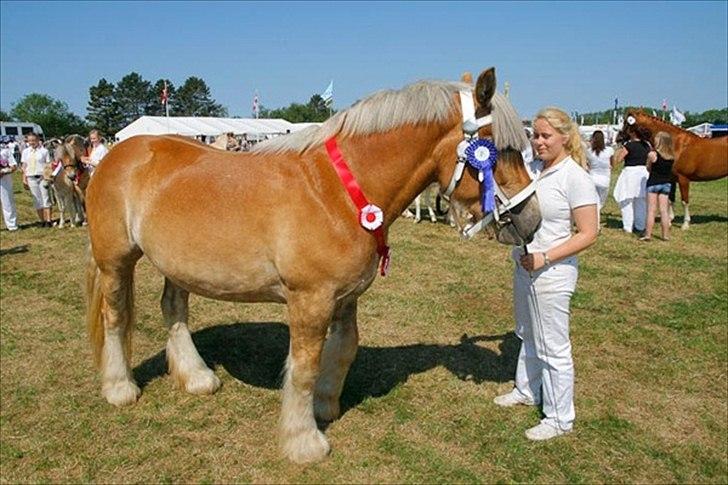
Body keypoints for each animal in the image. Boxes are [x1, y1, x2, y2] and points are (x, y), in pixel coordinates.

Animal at [85, 67, 540, 462]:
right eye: (498, 149)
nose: (531, 220)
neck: (338, 191)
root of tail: (117, 155)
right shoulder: (310, 300)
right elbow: (303, 368)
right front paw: (304, 441)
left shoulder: (346, 297)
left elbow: (343, 349)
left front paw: (324, 408)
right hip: (115, 261)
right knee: (115, 316)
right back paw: (120, 388)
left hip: (179, 265)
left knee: (174, 310)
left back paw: (197, 377)